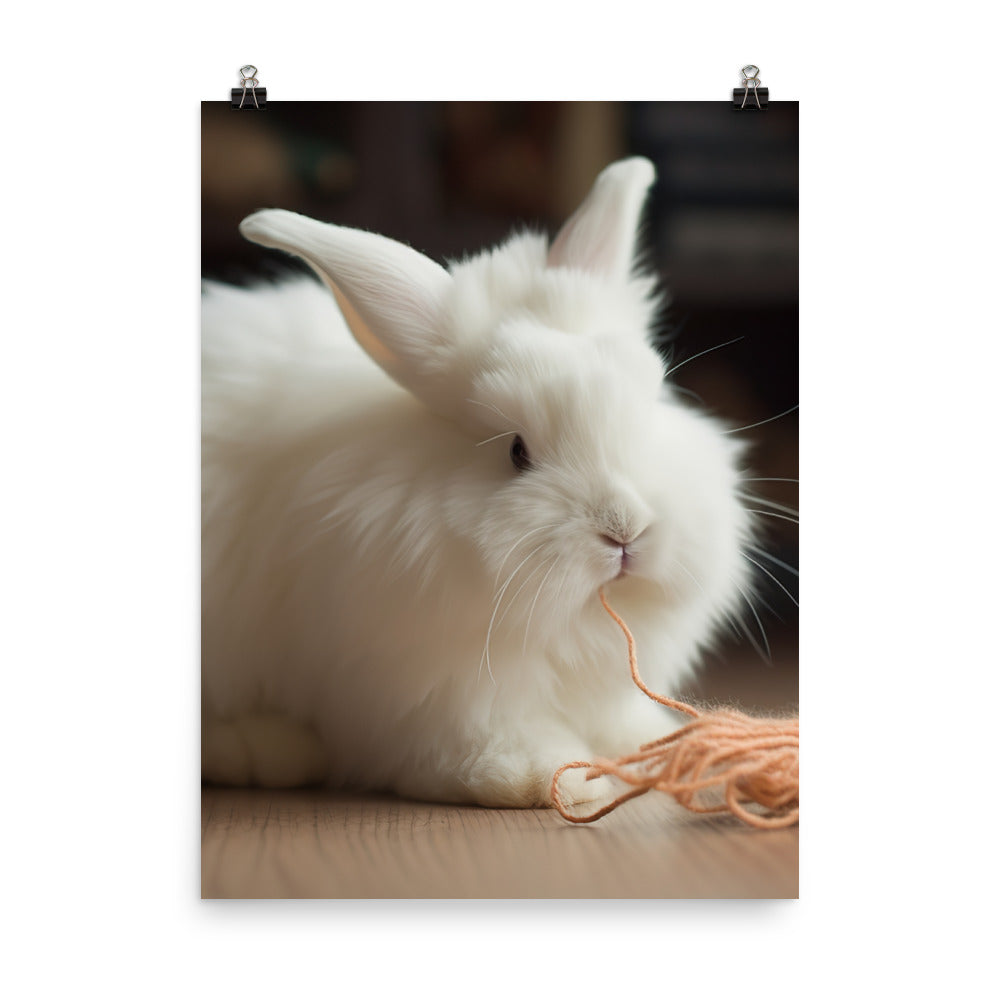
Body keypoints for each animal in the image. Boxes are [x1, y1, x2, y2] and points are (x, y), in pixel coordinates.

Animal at [201, 157, 755, 807]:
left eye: (651, 404)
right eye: (517, 451)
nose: (626, 531)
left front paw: (659, 750)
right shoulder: (431, 690)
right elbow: (480, 745)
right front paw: (552, 776)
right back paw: (264, 750)